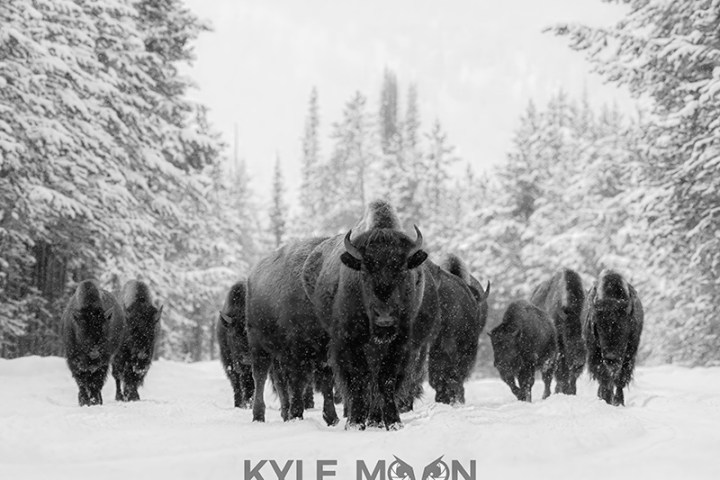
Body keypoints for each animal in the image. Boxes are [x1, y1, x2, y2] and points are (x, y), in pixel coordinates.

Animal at [246, 237, 339, 426]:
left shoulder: (324, 354)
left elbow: (326, 384)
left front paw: (332, 418)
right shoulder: (297, 353)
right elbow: (297, 384)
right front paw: (296, 415)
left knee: (279, 383)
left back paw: (283, 413)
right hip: (259, 346)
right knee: (260, 378)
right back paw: (259, 416)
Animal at [302, 200, 439, 430]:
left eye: (402, 270)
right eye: (365, 272)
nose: (385, 320)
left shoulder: (399, 343)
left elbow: (385, 379)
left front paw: (392, 422)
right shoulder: (350, 342)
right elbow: (360, 379)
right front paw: (356, 422)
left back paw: (375, 419)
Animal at [584, 270, 643, 406]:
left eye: (623, 327)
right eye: (599, 327)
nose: (611, 357)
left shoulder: (628, 356)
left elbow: (620, 379)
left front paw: (619, 402)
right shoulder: (596, 355)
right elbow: (604, 378)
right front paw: (606, 399)